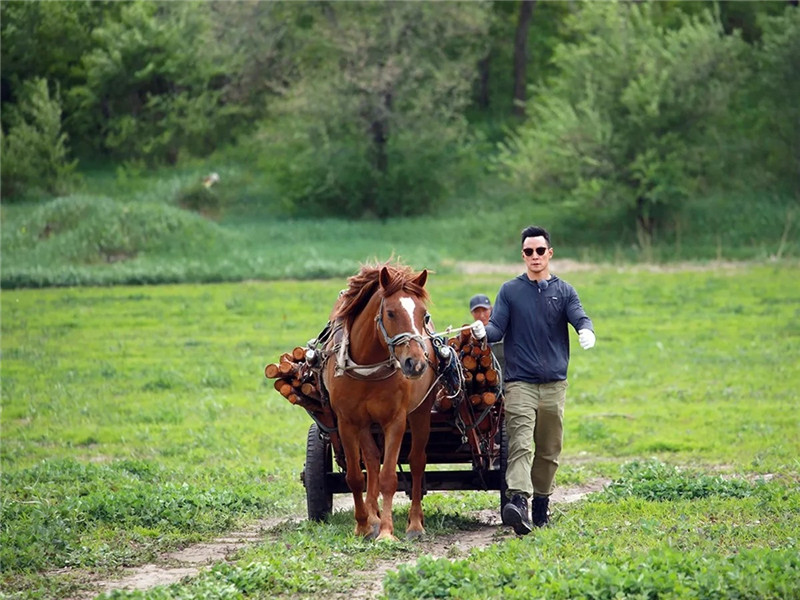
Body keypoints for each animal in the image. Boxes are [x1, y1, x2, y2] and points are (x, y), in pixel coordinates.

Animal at [320, 262, 438, 540]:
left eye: (423, 314)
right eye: (391, 313)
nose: (416, 363)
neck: (368, 366)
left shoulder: (395, 420)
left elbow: (389, 478)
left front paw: (386, 532)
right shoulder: (347, 422)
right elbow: (355, 476)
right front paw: (364, 525)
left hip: (421, 413)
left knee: (417, 461)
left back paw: (415, 524)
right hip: (365, 425)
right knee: (372, 461)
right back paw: (372, 516)